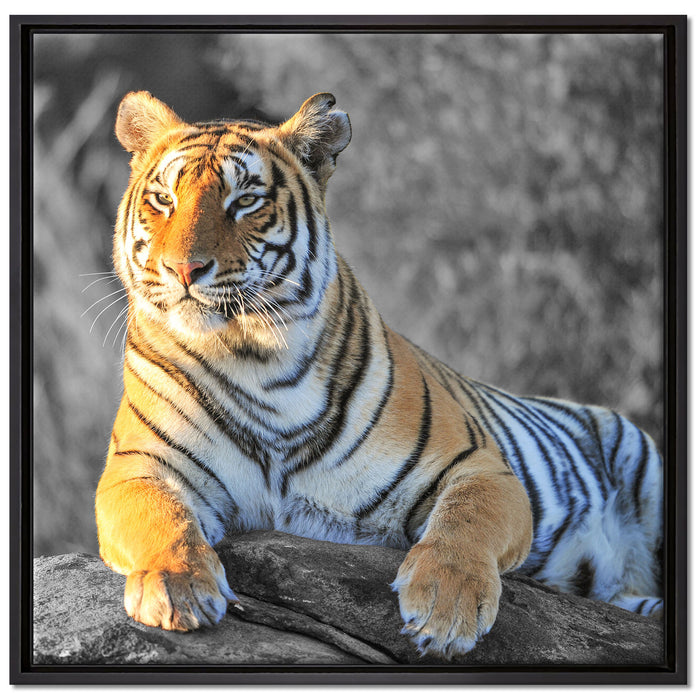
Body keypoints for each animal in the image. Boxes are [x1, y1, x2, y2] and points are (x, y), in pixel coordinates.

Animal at [95, 91, 664, 659]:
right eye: (164, 199)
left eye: (246, 201)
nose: (183, 270)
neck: (254, 358)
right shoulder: (137, 467)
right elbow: (161, 519)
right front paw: (177, 587)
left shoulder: (478, 465)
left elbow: (465, 521)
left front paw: (446, 608)